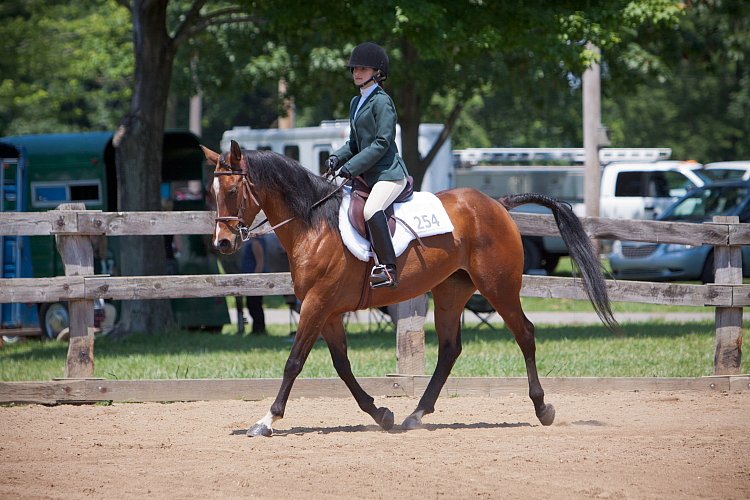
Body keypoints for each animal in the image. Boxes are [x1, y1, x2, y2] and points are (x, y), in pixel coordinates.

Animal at [201, 139, 616, 436]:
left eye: (233, 191)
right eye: (211, 192)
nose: (223, 243)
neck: (313, 224)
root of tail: (498, 203)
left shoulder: (316, 304)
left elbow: (294, 362)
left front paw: (266, 421)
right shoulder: (328, 310)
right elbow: (342, 366)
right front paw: (381, 413)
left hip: (499, 287)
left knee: (525, 334)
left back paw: (542, 408)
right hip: (450, 292)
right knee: (450, 349)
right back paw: (416, 414)